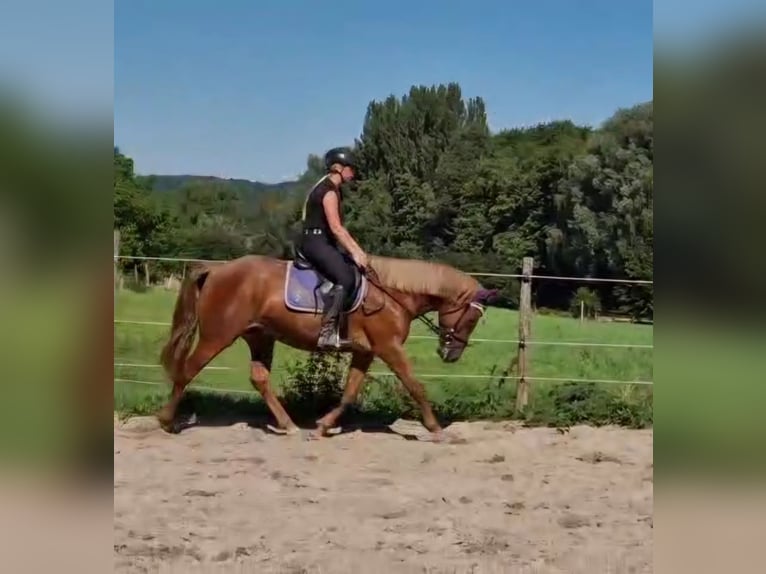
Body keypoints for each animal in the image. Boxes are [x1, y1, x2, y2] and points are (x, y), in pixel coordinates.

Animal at [157, 252, 499, 442]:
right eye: (472, 318)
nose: (450, 354)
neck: (392, 295)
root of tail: (217, 269)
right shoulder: (388, 348)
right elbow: (414, 386)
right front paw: (436, 428)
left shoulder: (365, 351)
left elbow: (349, 392)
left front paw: (323, 426)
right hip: (218, 336)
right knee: (186, 371)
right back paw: (166, 420)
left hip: (259, 336)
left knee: (259, 379)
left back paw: (288, 425)